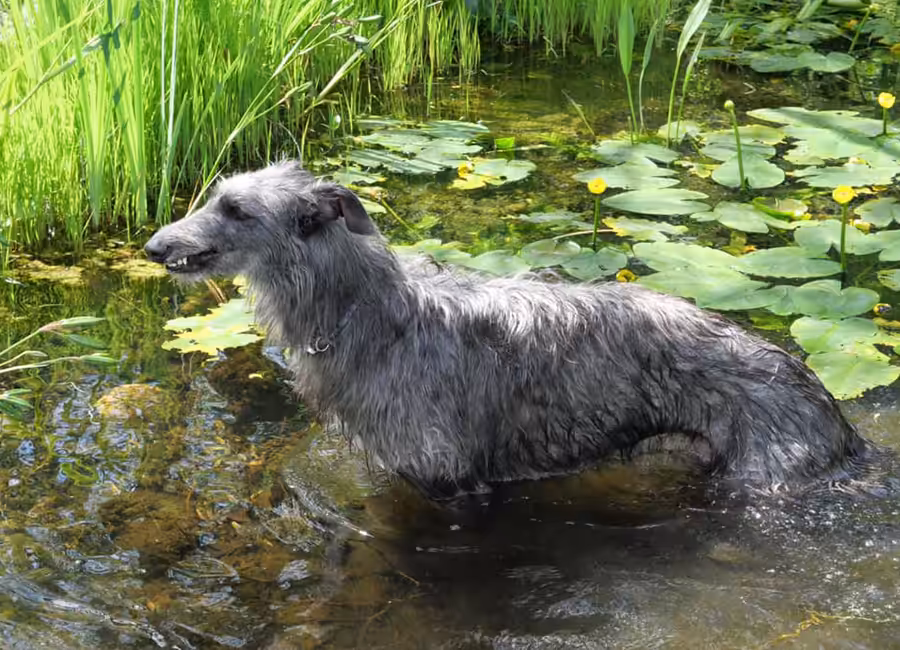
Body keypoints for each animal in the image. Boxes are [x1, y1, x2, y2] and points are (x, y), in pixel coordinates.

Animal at [144, 161, 871, 499]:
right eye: (216, 196)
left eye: (236, 209)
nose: (153, 246)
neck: (373, 316)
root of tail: (827, 404)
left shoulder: (452, 482)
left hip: (763, 471)